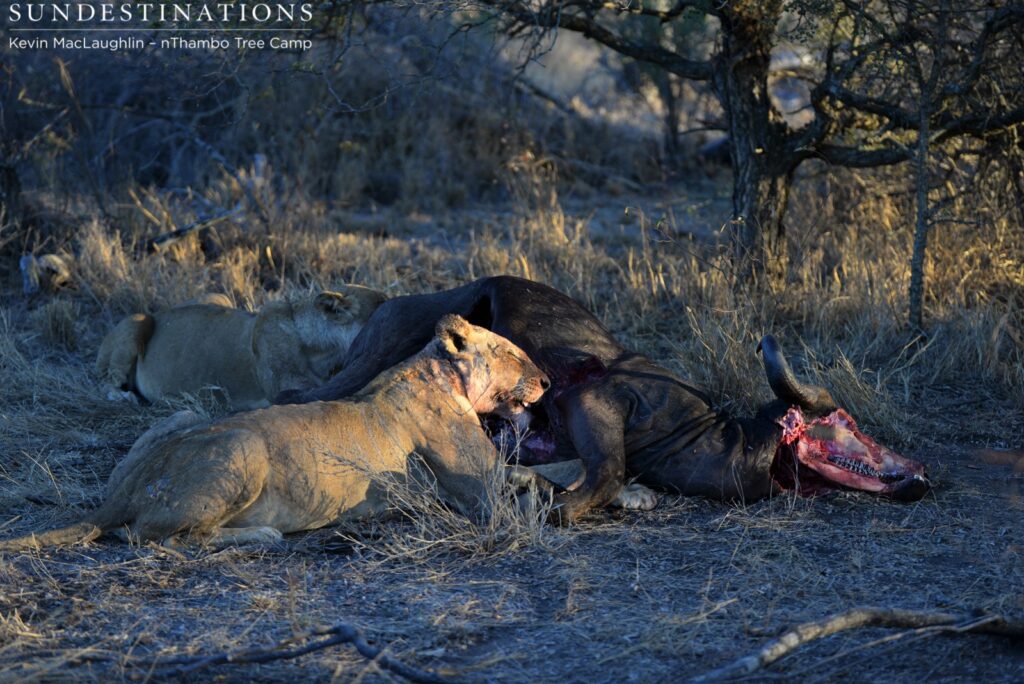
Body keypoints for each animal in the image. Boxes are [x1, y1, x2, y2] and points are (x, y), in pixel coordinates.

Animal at [0, 315, 551, 550]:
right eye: (511, 352)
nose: (547, 381)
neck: (433, 371)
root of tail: (124, 493)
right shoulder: (480, 494)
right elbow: (530, 487)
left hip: (183, 418)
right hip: (242, 448)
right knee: (156, 537)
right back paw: (263, 535)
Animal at [95, 286, 387, 410]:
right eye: (384, 303)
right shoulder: (289, 389)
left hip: (219, 296)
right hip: (136, 322)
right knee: (105, 383)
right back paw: (125, 397)